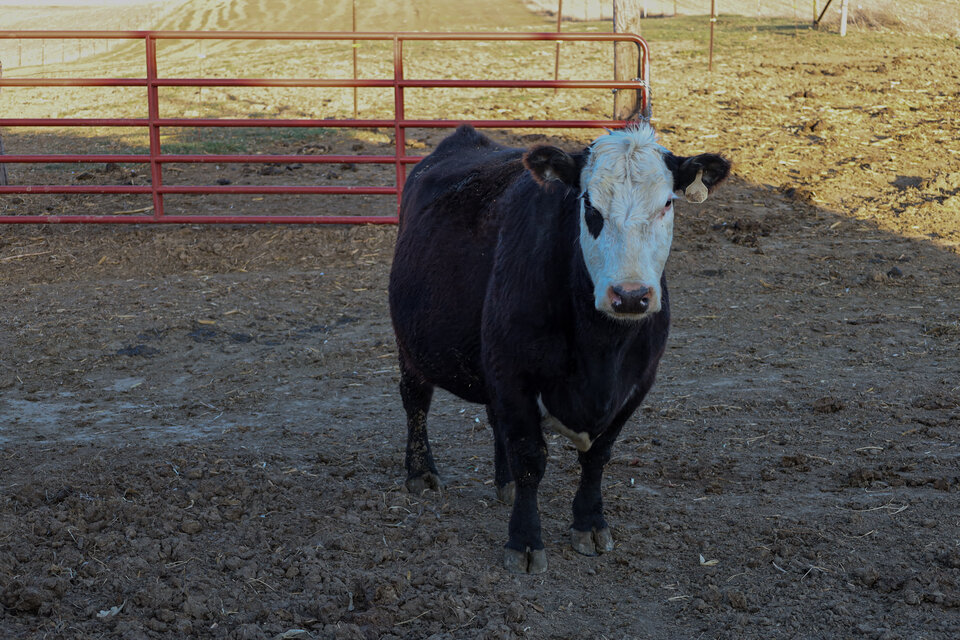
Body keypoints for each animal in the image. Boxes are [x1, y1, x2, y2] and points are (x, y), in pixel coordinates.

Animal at [386, 122, 732, 572]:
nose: (631, 296)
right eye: (590, 208)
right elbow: (531, 458)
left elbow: (597, 457)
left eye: (666, 205)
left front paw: (590, 523)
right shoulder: (514, 374)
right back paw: (421, 472)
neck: (601, 351)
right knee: (416, 400)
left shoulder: (637, 383)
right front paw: (525, 541)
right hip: (412, 346)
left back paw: (504, 483)